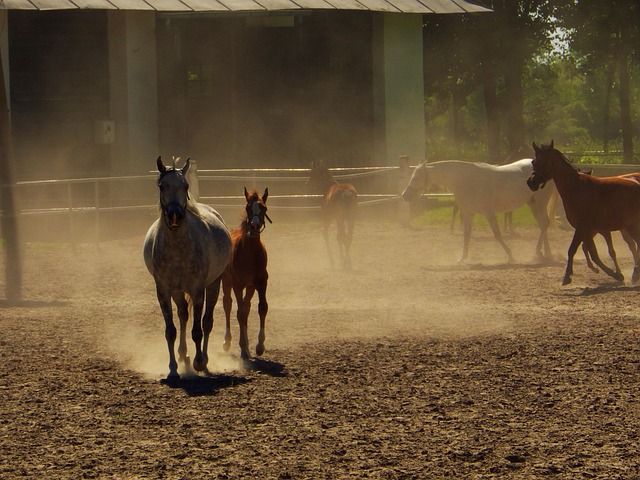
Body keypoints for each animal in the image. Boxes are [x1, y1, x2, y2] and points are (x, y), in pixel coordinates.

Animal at [143, 157, 232, 380]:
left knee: (207, 322)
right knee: (183, 315)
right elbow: (171, 330)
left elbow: (197, 330)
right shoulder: (164, 291)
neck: (178, 248)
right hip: (177, 292)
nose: (175, 215)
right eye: (162, 186)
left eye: (185, 186)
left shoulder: (198, 290)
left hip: (214, 284)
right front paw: (173, 368)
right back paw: (183, 355)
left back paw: (204, 361)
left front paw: (199, 361)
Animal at [221, 187, 271, 361]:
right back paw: (227, 342)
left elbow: (262, 308)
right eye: (248, 207)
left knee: (246, 306)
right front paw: (243, 347)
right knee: (228, 304)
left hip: (250, 287)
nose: (254, 226)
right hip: (226, 282)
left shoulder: (261, 283)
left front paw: (259, 346)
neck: (249, 253)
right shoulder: (238, 284)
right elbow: (240, 313)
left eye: (264, 208)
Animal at [402, 158, 558, 263]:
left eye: (415, 178)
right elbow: (466, 235)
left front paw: (511, 256)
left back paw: (538, 252)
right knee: (543, 225)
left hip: (540, 203)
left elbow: (497, 235)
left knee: (544, 224)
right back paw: (545, 253)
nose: (405, 195)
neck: (466, 180)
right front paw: (462, 258)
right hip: (533, 204)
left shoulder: (489, 213)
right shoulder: (468, 213)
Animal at [527, 141, 640, 285]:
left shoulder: (585, 228)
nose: (531, 182)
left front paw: (616, 275)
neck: (577, 188)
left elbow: (590, 252)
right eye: (533, 161)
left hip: (631, 227)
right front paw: (567, 276)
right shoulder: (585, 230)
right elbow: (581, 251)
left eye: (546, 160)